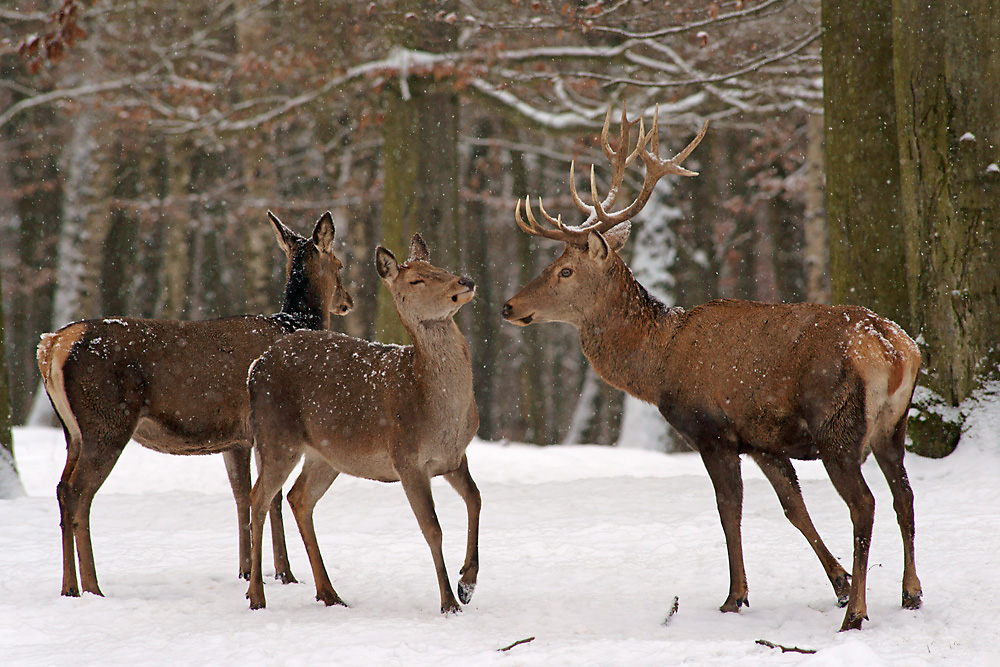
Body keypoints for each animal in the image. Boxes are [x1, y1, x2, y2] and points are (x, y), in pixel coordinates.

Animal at [36, 211, 356, 596]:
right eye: (339, 264)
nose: (348, 301)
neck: (293, 325)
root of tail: (52, 345)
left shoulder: (236, 439)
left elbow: (242, 496)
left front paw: (245, 570)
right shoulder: (268, 427)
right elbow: (272, 497)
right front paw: (285, 573)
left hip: (74, 432)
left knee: (60, 488)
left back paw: (69, 586)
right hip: (107, 422)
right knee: (78, 492)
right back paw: (92, 586)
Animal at [241, 235, 476, 616]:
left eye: (439, 267)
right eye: (417, 280)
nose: (465, 282)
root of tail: (254, 368)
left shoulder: (455, 457)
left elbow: (476, 499)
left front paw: (467, 583)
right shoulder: (407, 458)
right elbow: (433, 529)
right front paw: (449, 602)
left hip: (327, 454)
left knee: (298, 497)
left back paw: (329, 593)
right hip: (277, 437)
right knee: (259, 497)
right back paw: (257, 595)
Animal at [500, 107, 920, 636]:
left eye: (565, 271)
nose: (509, 306)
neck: (658, 363)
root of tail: (894, 349)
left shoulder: (712, 430)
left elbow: (729, 511)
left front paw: (735, 597)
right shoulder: (762, 439)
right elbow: (793, 508)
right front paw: (838, 581)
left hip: (836, 425)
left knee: (864, 505)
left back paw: (856, 614)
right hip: (892, 426)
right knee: (903, 495)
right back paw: (910, 593)